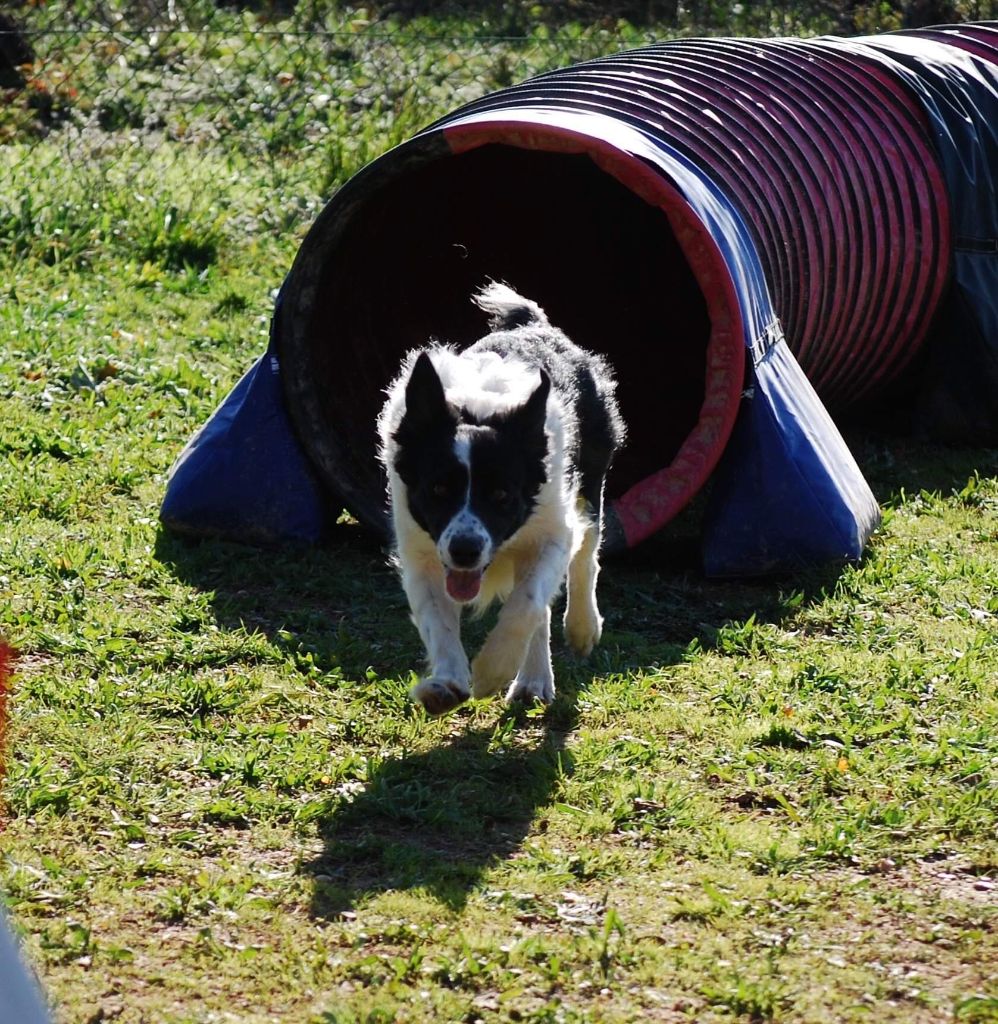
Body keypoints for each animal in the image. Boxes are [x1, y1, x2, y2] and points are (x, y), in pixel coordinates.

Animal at [380, 284, 622, 716]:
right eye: (438, 490)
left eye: (501, 495)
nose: (465, 551)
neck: (480, 410)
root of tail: (535, 324)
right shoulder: (420, 549)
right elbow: (437, 618)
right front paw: (447, 683)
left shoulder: (551, 531)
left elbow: (527, 602)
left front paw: (492, 670)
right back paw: (533, 680)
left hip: (591, 480)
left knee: (585, 555)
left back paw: (579, 629)